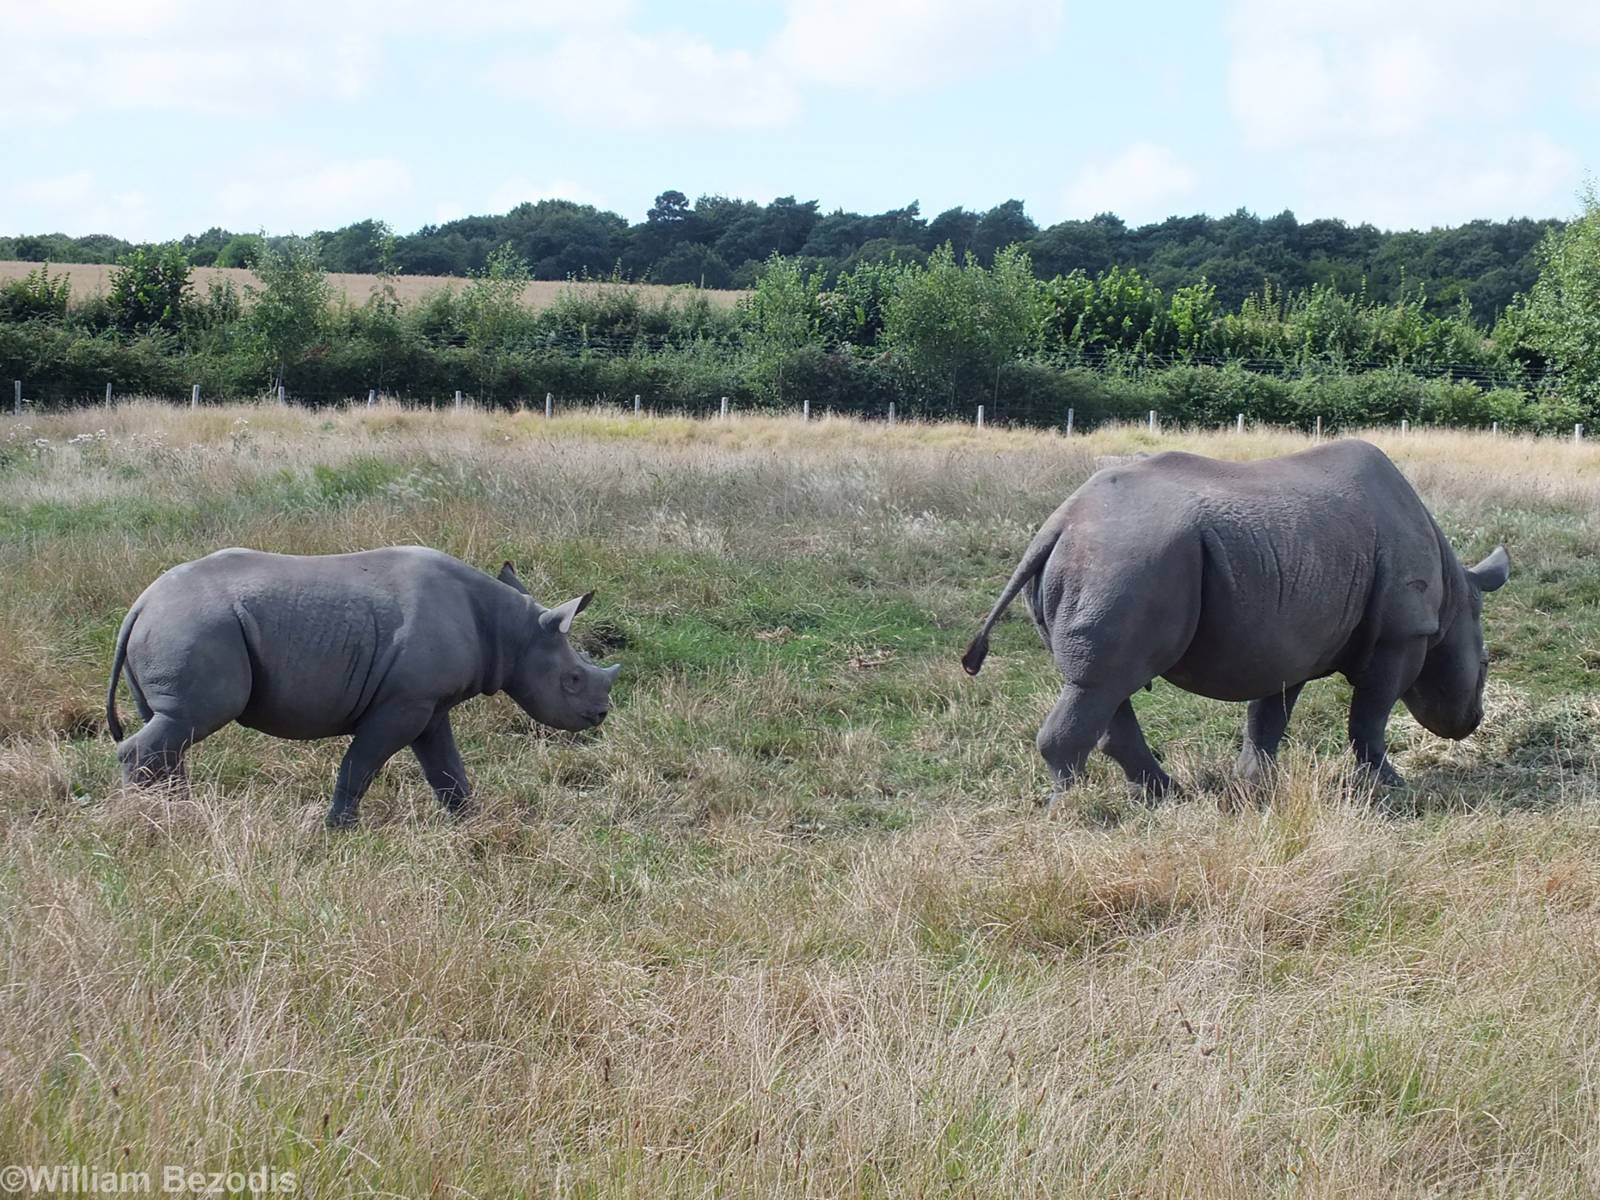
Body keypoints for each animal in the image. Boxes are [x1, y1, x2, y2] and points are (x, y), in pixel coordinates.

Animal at [106, 547, 620, 827]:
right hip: (196, 625)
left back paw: (175, 813)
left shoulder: (428, 705)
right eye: (573, 680)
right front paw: (338, 831)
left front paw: (470, 824)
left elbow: (448, 770)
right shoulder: (404, 703)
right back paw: (146, 821)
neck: (511, 631)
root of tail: (141, 603)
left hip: (180, 626)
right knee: (188, 721)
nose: (601, 715)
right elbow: (362, 764)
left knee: (172, 726)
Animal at [962, 440, 1509, 794]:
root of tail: (1060, 521)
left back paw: (1166, 797)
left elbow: (1268, 715)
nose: (1472, 722)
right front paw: (1392, 788)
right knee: (1102, 683)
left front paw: (1256, 786)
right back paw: (1075, 814)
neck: (1454, 597)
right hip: (1126, 557)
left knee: (1104, 684)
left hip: (1110, 559)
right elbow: (1369, 717)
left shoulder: (1288, 636)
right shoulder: (1402, 631)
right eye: (1484, 665)